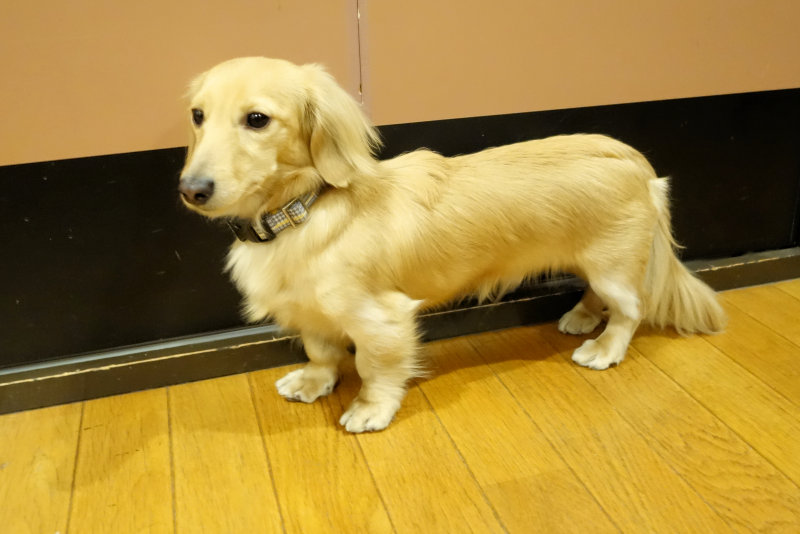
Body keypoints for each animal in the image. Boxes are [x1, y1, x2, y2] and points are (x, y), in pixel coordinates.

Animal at [179, 57, 726, 432]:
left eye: (257, 119)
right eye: (197, 115)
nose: (191, 190)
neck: (303, 212)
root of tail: (633, 159)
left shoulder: (382, 319)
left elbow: (374, 367)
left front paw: (370, 409)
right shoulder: (310, 313)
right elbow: (321, 351)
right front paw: (314, 381)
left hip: (612, 266)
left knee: (631, 310)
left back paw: (604, 348)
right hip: (595, 265)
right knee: (602, 297)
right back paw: (582, 317)